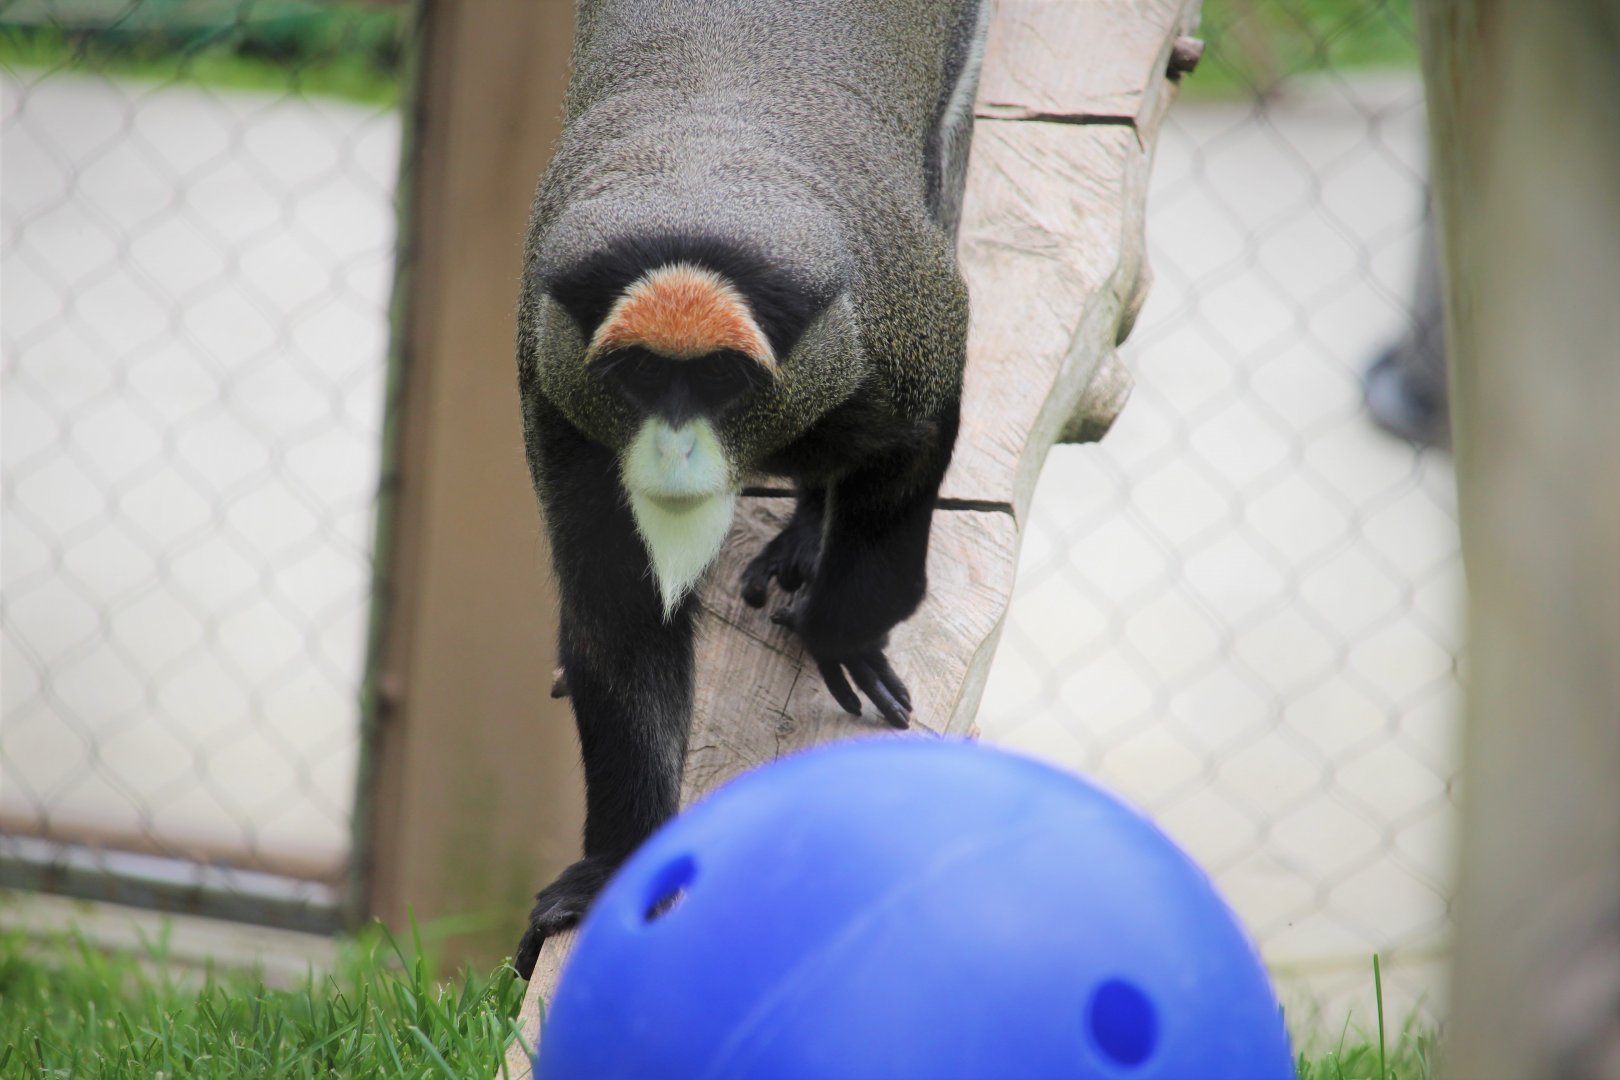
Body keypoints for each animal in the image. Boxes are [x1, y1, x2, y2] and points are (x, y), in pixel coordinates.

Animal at [512, 0, 990, 979]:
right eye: (639, 377)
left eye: (721, 381)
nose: (674, 449)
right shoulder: (553, 391)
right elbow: (619, 616)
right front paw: (619, 866)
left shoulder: (907, 341)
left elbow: (915, 453)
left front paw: (842, 631)